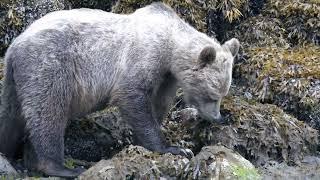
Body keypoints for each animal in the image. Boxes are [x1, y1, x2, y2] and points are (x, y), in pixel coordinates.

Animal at [0, 2, 238, 178]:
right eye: (212, 94)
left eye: (223, 93)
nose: (217, 117)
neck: (170, 49)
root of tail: (16, 43)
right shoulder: (143, 57)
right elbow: (132, 96)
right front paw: (172, 147)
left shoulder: (166, 77)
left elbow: (159, 104)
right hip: (49, 66)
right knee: (48, 112)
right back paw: (63, 167)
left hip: (17, 81)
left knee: (12, 117)